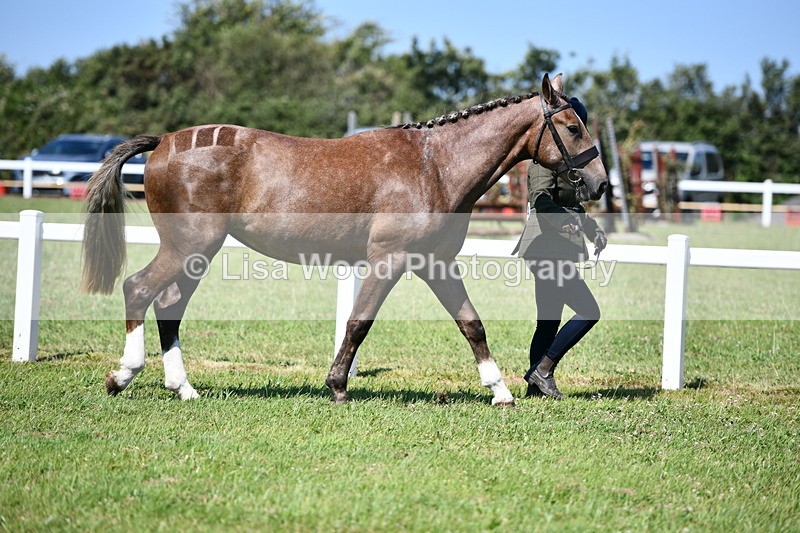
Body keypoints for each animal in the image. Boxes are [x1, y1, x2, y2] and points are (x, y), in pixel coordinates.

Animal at [81, 73, 608, 405]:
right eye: (571, 126)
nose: (600, 184)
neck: (434, 167)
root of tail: (165, 142)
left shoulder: (435, 263)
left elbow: (471, 323)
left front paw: (499, 391)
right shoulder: (389, 261)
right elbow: (358, 324)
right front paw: (337, 386)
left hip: (196, 254)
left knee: (169, 304)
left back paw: (184, 388)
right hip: (189, 247)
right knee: (139, 290)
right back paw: (122, 375)